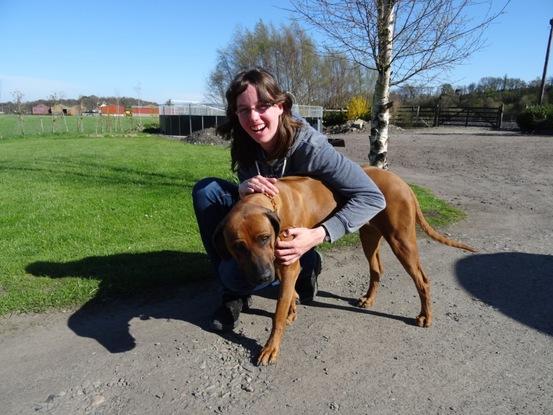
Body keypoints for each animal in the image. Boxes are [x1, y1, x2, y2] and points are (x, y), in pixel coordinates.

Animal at [211, 165, 474, 364]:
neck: (270, 200)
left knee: (422, 280)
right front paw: (292, 308)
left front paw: (270, 348)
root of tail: (402, 182)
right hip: (369, 235)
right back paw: (369, 299)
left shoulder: (287, 260)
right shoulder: (280, 261)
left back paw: (425, 316)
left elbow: (277, 314)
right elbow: (288, 295)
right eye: (238, 247)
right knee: (377, 269)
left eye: (264, 238)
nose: (263, 278)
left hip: (402, 241)